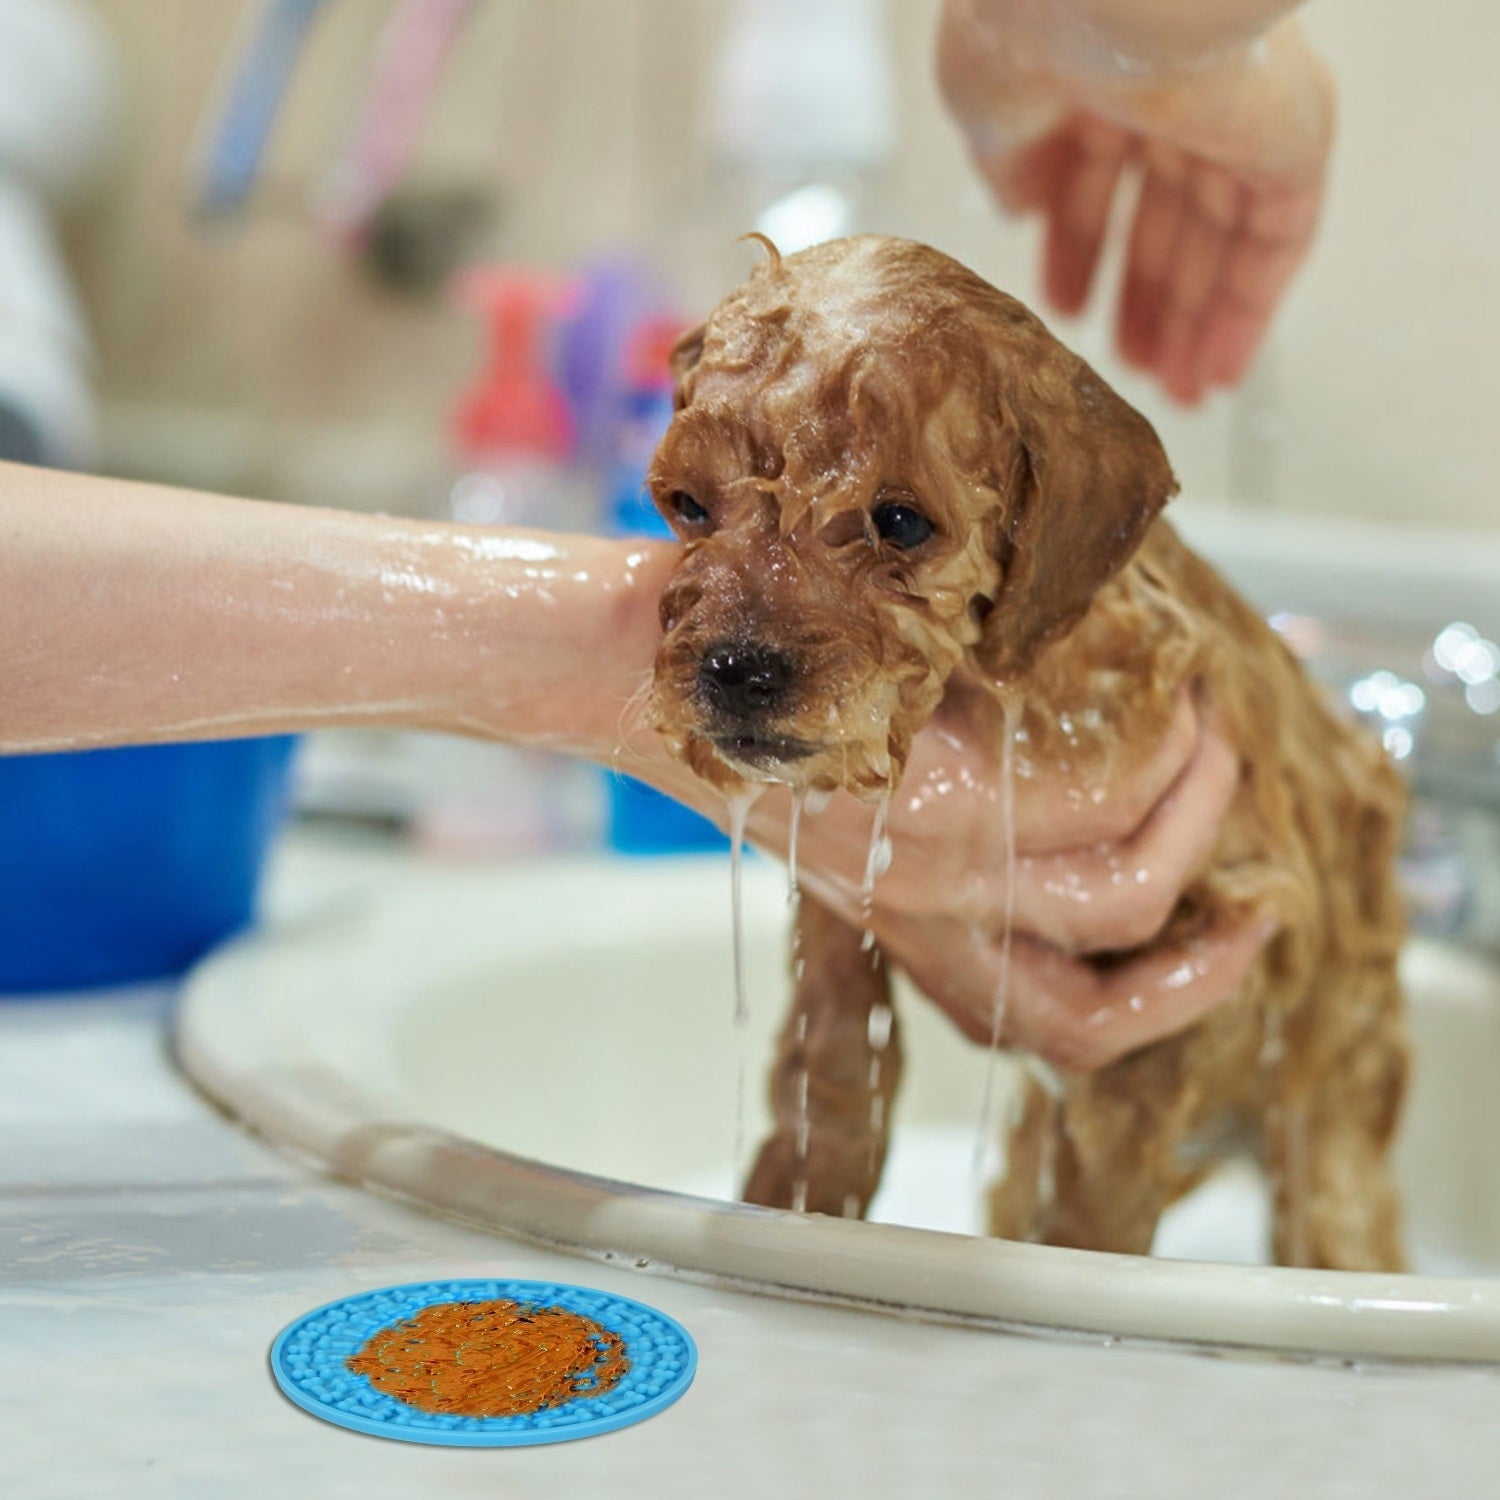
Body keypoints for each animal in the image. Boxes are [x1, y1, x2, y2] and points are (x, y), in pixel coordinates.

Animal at [645, 231, 1404, 1266]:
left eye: (901, 521)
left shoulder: (1202, 963)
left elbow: (1101, 1189)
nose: (735, 667)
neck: (1009, 687)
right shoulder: (844, 896)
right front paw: (797, 1191)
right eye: (687, 504)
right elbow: (835, 1038)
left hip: (1333, 1135)